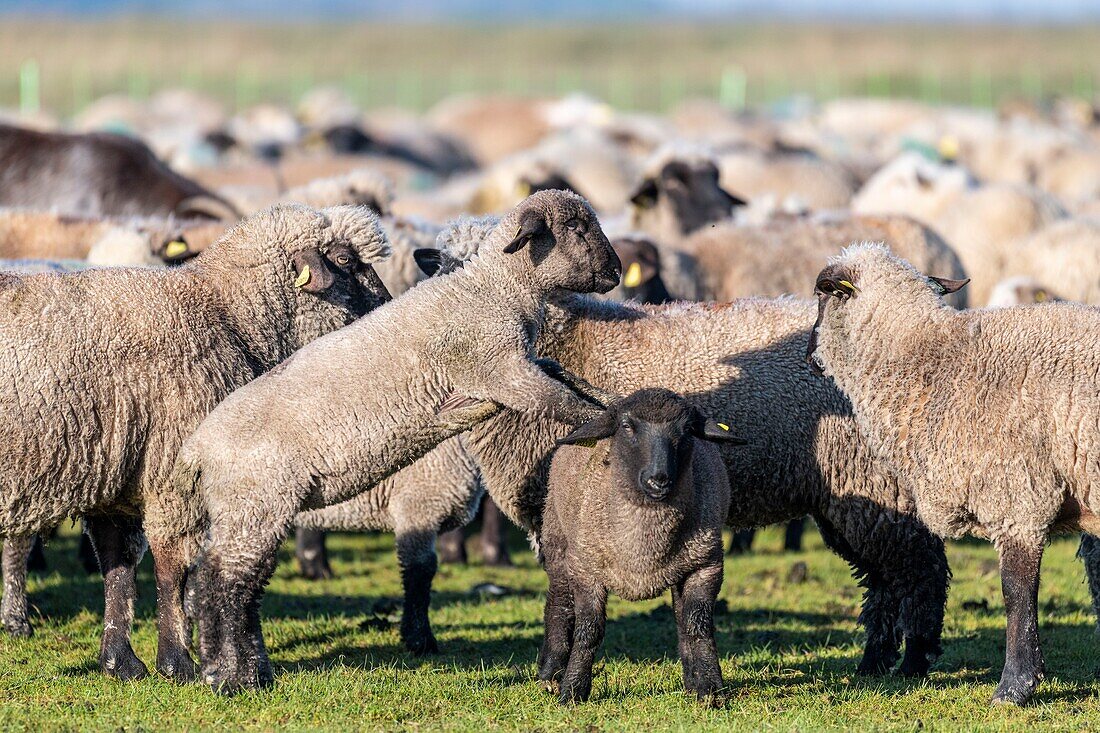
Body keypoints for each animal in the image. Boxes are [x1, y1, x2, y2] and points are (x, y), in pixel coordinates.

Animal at [0, 202, 393, 682]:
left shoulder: (118, 475)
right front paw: (177, 663)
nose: (391, 309)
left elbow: (118, 565)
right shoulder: (173, 470)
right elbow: (175, 568)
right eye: (345, 260)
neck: (227, 314)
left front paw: (121, 661)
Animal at [181, 189, 624, 691]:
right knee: (223, 583)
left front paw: (616, 400)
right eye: (574, 226)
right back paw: (229, 676)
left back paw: (243, 671)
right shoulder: (503, 373)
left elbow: (568, 379)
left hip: (246, 509)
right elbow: (565, 403)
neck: (493, 290)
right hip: (255, 502)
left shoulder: (518, 368)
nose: (616, 271)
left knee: (230, 582)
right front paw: (607, 420)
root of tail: (197, 448)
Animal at [539, 387, 739, 704]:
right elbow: (589, 630)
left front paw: (710, 689)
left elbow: (697, 626)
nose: (658, 480)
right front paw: (572, 690)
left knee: (681, 618)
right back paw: (550, 674)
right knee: (559, 604)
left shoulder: (706, 565)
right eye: (626, 426)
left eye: (687, 430)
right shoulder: (586, 570)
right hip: (557, 540)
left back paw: (691, 681)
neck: (643, 551)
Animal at [800, 241, 1100, 704]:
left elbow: (1016, 593)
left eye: (822, 295)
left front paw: (1015, 686)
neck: (934, 363)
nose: (808, 356)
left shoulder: (1018, 498)